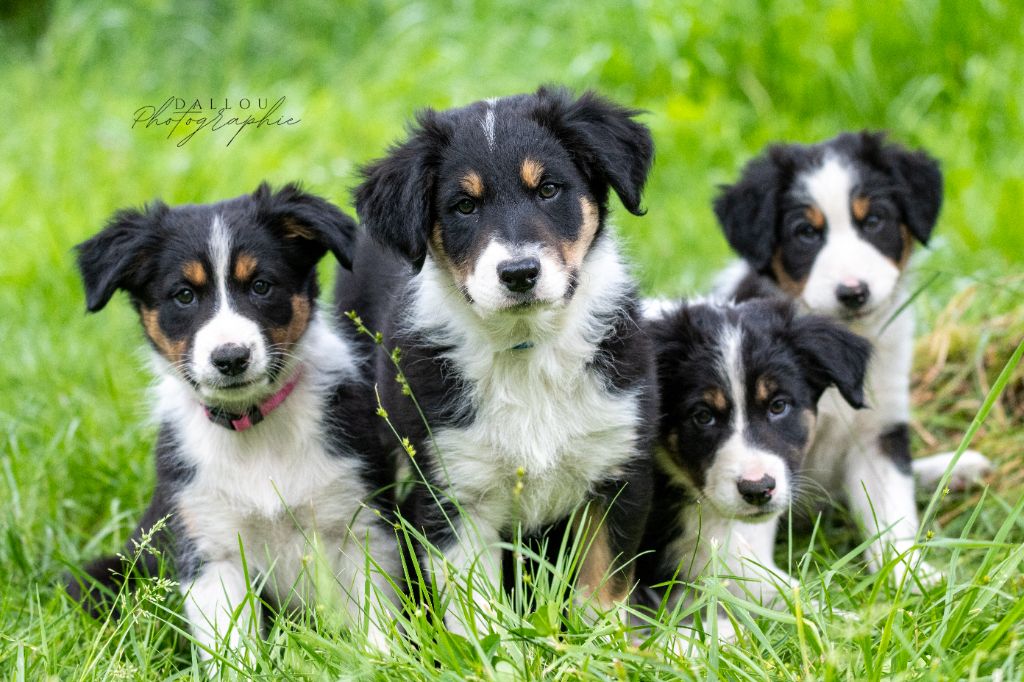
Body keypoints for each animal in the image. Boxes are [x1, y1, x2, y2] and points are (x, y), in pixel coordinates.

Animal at [68, 184, 399, 659]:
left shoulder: (361, 524)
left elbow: (378, 622)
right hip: (109, 573)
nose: (230, 358)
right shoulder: (210, 545)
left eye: (261, 286)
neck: (253, 427)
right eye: (184, 295)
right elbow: (232, 647)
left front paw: (386, 662)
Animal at [335, 86, 655, 630]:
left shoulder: (614, 467)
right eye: (464, 206)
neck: (524, 350)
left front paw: (608, 644)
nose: (520, 273)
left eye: (548, 190)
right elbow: (476, 610)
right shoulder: (454, 492)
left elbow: (603, 586)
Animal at [708, 133, 987, 585]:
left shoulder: (878, 429)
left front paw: (908, 575)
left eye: (873, 221)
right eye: (806, 232)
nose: (853, 292)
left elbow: (892, 512)